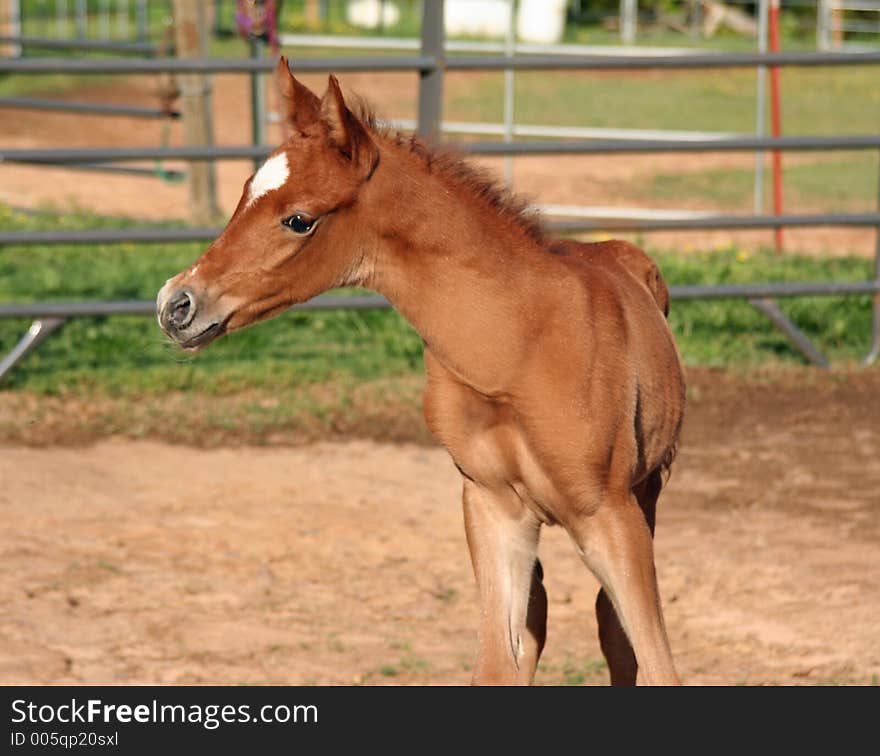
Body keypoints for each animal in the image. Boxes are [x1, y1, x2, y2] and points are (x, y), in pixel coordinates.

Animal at [158, 59, 684, 684]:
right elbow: (501, 662)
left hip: (648, 492)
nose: (176, 304)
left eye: (299, 219)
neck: (518, 346)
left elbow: (653, 658)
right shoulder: (492, 506)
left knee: (613, 626)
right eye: (242, 195)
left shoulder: (610, 514)